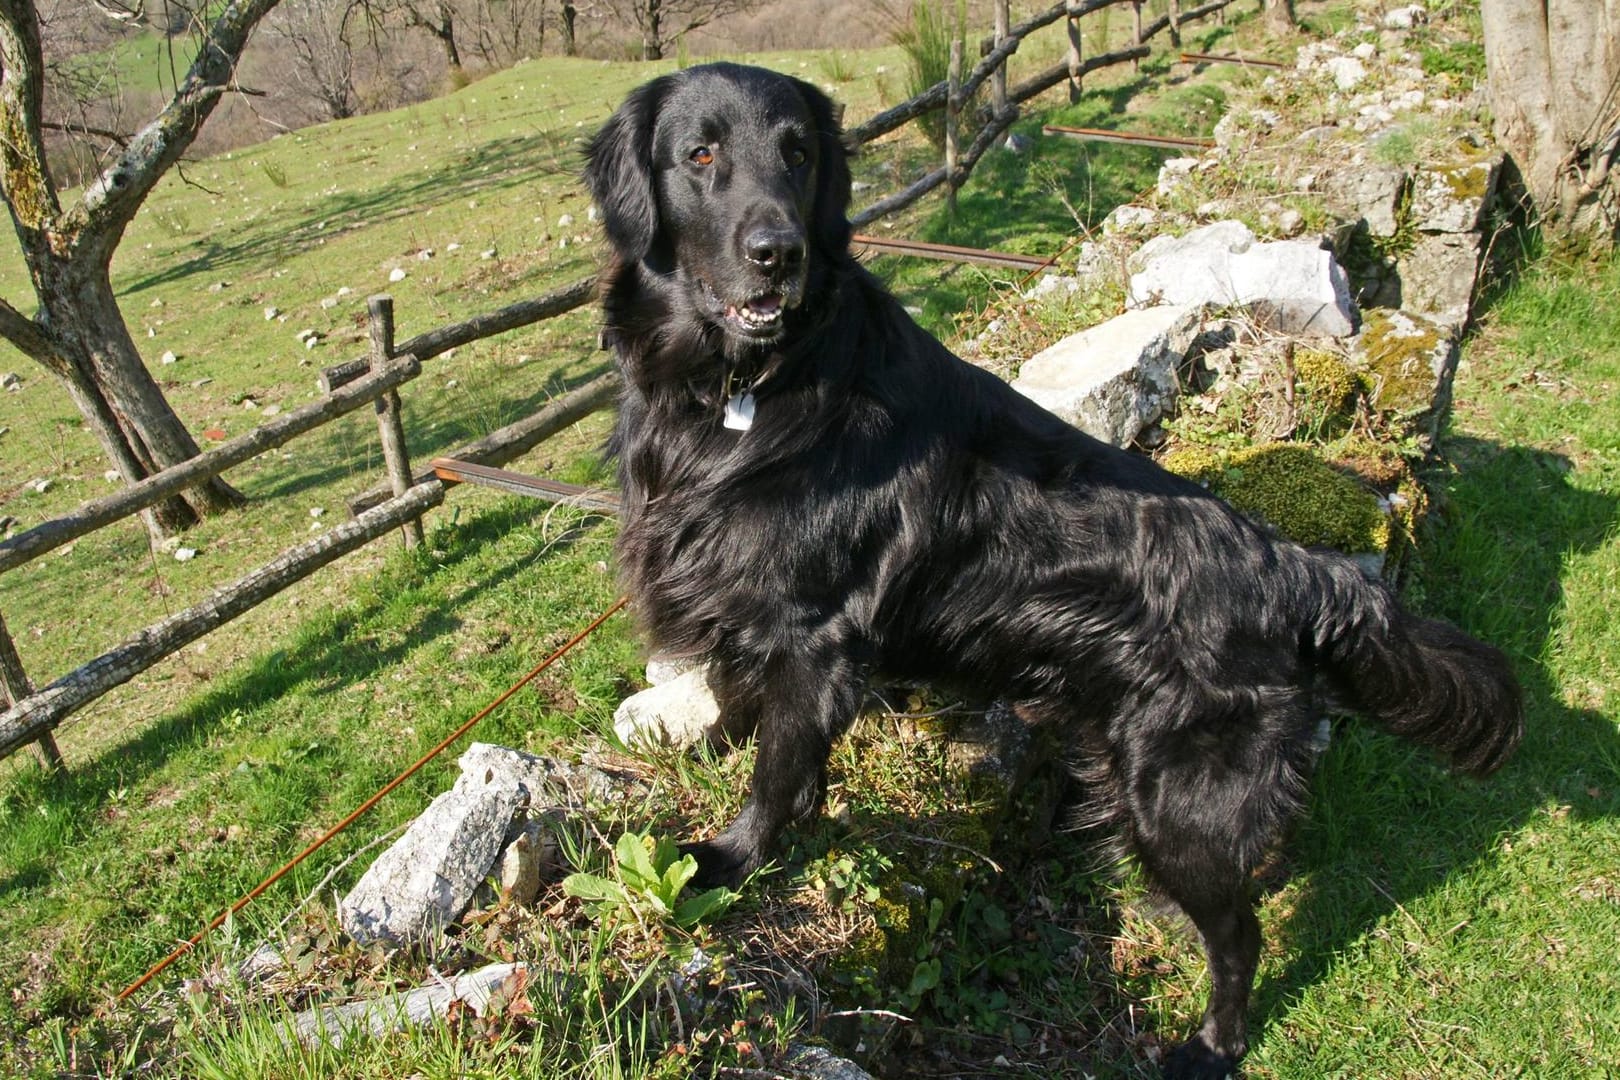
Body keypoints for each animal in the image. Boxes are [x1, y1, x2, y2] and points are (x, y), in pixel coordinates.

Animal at [586, 63, 1516, 1075]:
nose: (777, 253)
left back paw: (1213, 1044)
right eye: (700, 154)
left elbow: (774, 771)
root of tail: (1295, 568)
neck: (749, 386)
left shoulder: (812, 632)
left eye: (799, 154)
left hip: (1179, 797)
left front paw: (732, 858)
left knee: (1242, 934)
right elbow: (775, 739)